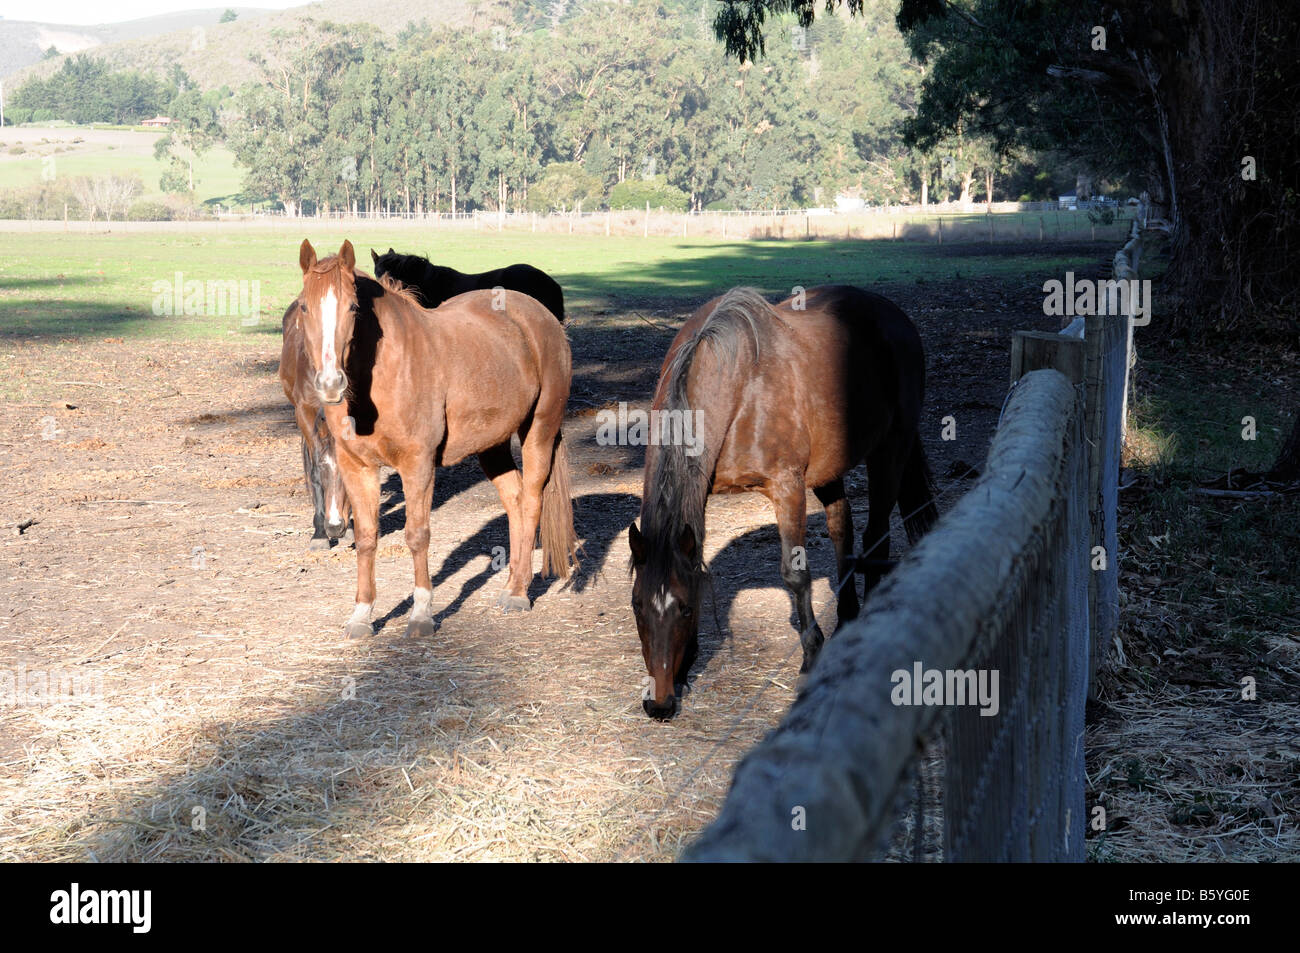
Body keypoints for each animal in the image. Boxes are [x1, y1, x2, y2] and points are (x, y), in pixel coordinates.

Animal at [626, 286, 935, 717]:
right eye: (637, 605)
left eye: (684, 608)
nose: (659, 704)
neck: (735, 386)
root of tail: (893, 315)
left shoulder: (787, 487)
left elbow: (795, 574)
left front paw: (809, 658)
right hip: (829, 470)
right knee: (843, 529)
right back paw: (846, 618)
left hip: (889, 451)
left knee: (876, 537)